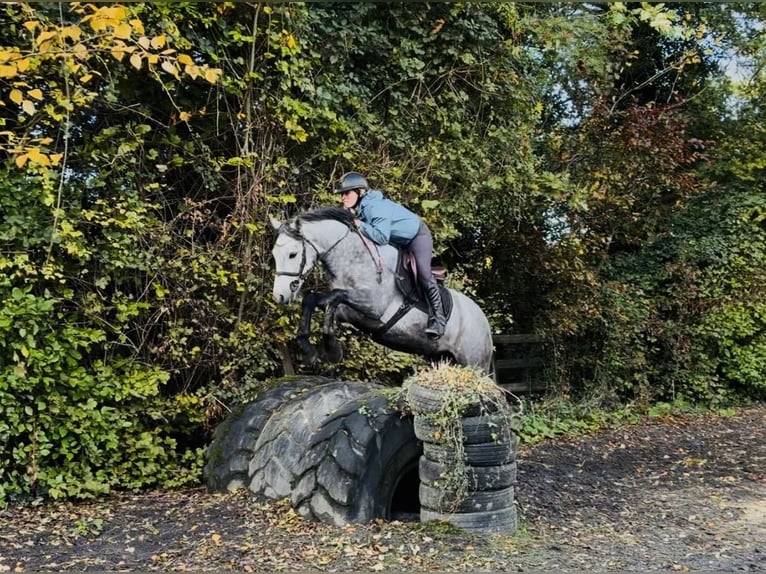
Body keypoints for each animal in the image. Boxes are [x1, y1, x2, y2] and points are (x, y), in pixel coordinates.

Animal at [269, 207, 494, 373]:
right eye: (274, 254)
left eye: (292, 254)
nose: (280, 296)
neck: (353, 257)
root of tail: (486, 324)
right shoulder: (350, 312)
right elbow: (315, 300)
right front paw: (315, 351)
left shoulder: (373, 306)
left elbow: (333, 297)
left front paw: (330, 349)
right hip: (441, 358)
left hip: (474, 364)